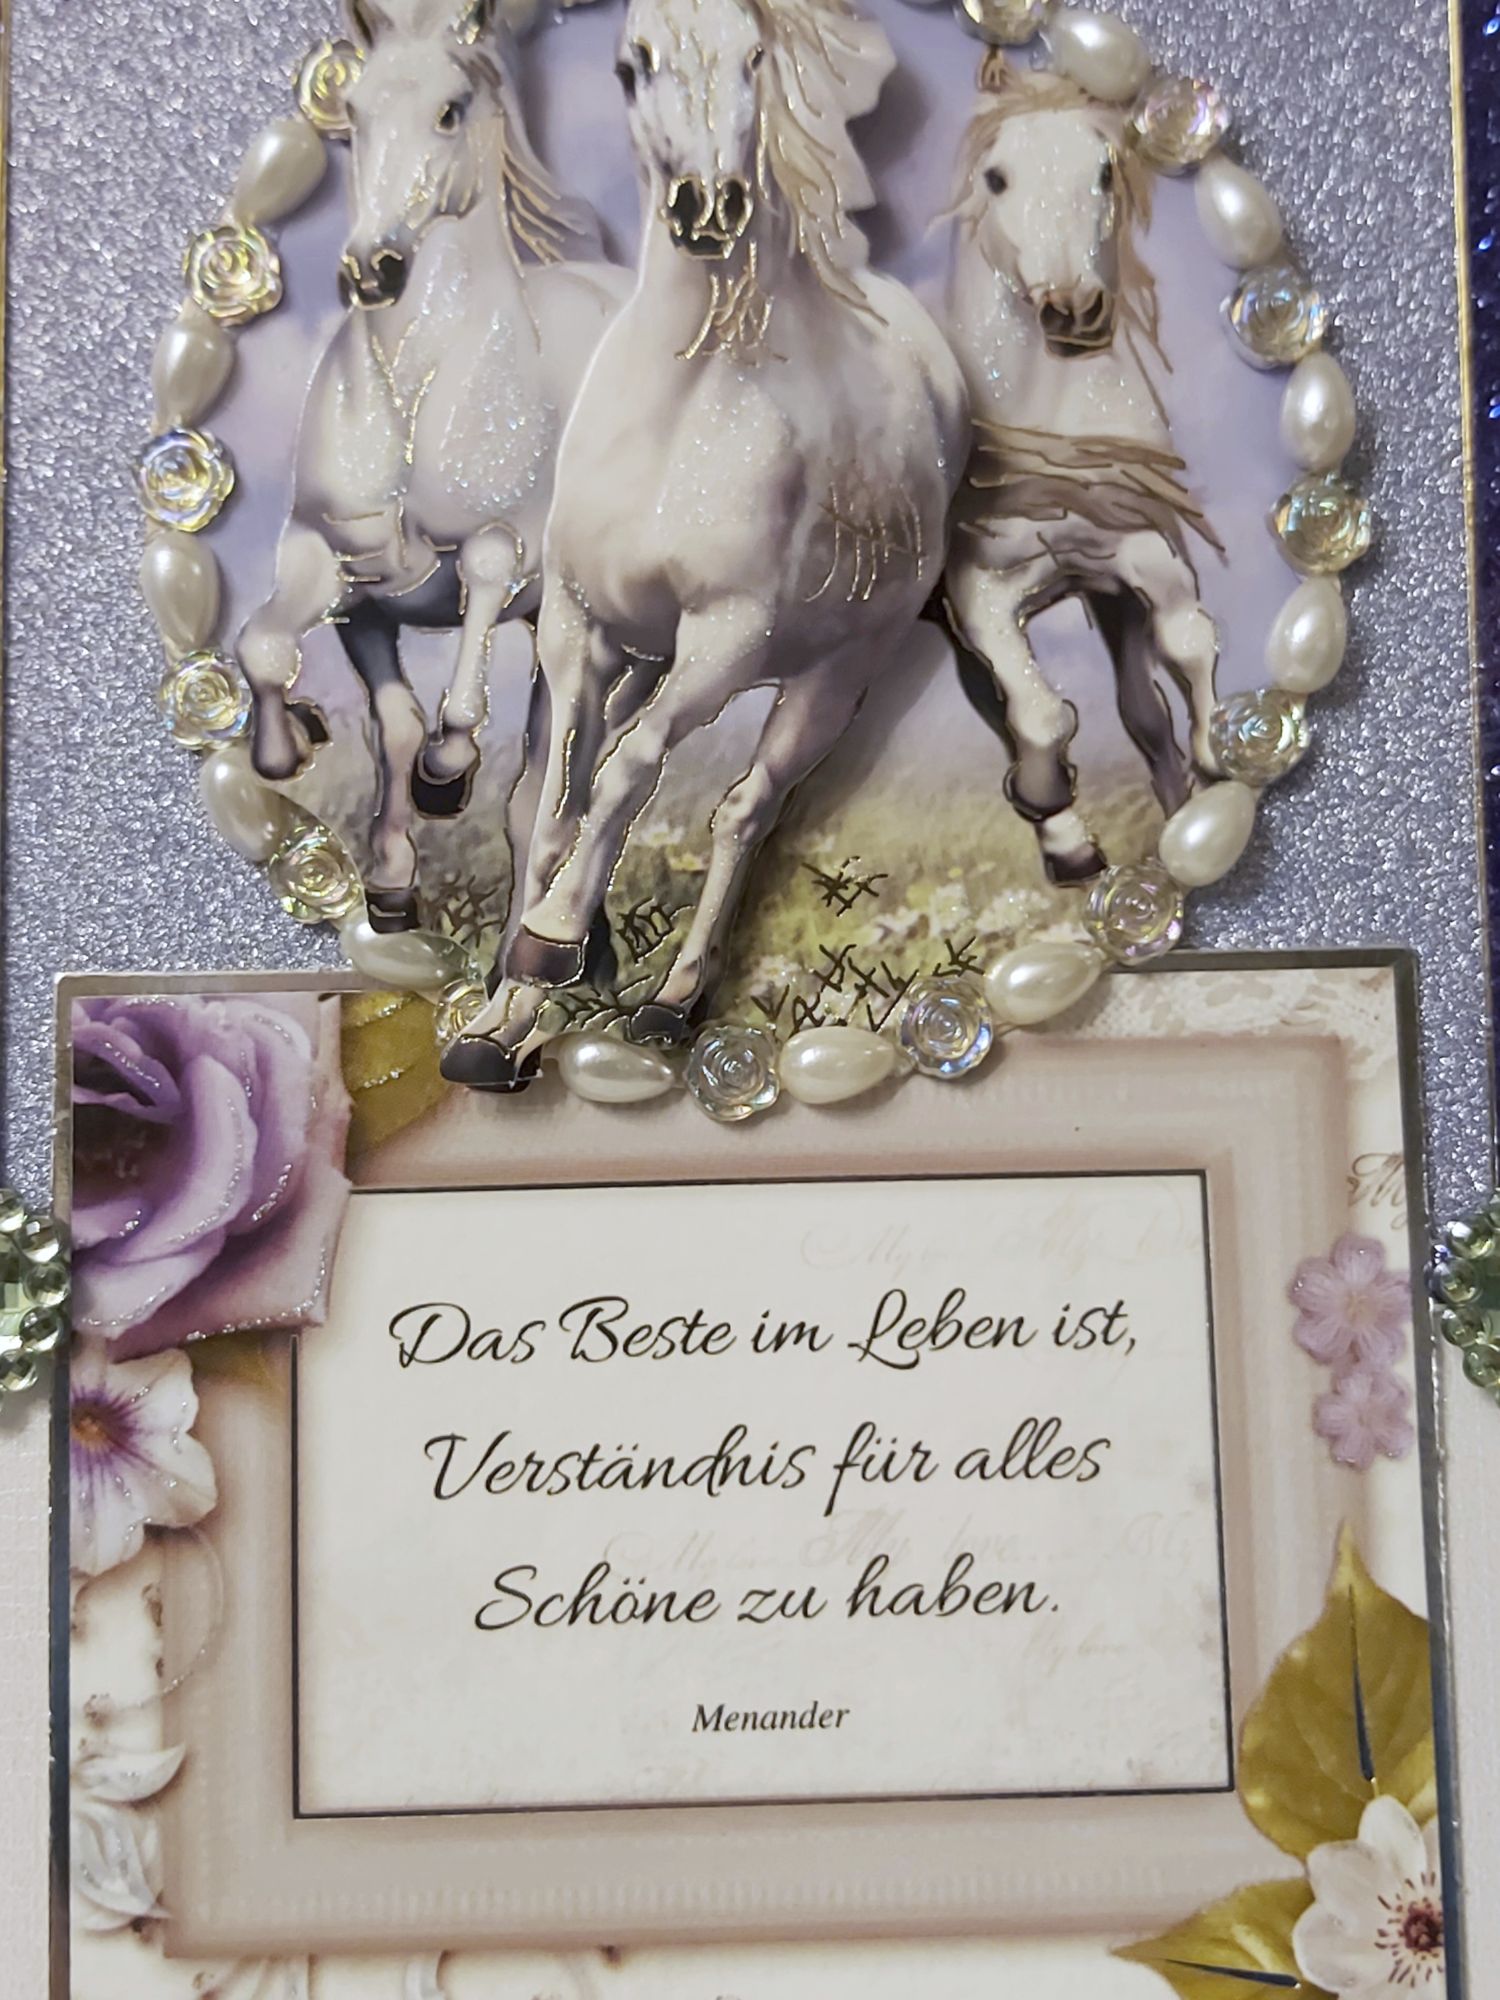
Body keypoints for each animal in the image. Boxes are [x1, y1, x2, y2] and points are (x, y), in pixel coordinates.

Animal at [237, 0, 629, 931]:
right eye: (353, 114)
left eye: (450, 111)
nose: (372, 272)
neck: (417, 391)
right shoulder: (342, 580)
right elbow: (277, 654)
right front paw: (299, 753)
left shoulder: (501, 549)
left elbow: (472, 613)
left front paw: (448, 773)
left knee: (556, 782)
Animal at [441, 0, 970, 1090]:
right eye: (630, 63)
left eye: (757, 57)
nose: (709, 210)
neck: (682, 410)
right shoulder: (580, 626)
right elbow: (554, 808)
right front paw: (498, 1026)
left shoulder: (725, 639)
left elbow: (632, 773)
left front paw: (551, 941)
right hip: (643, 656)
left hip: (831, 679)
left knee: (744, 810)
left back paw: (674, 1004)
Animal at [939, 52, 1222, 885]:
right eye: (996, 177)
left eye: (1103, 170)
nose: (1074, 311)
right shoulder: (982, 598)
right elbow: (1039, 716)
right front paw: (1059, 826)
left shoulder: (1146, 558)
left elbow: (1187, 646)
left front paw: (1215, 759)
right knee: (1013, 712)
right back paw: (1063, 836)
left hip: (1108, 597)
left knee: (1142, 712)